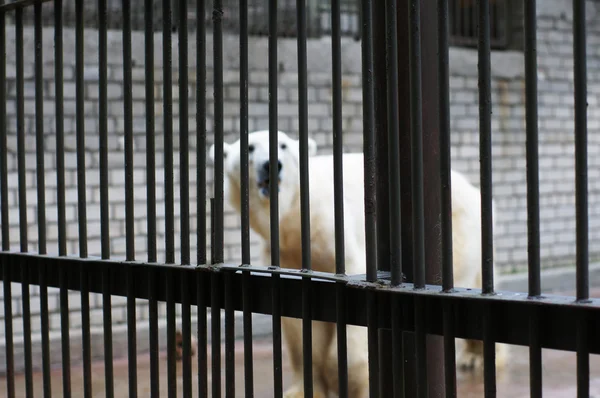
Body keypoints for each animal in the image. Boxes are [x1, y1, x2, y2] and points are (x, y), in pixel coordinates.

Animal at [211, 129, 506, 396]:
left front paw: (347, 379)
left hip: (456, 230)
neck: (293, 216)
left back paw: (478, 358)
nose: (271, 164)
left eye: (283, 145)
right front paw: (306, 389)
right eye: (249, 147)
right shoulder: (285, 252)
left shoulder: (334, 229)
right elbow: (298, 320)